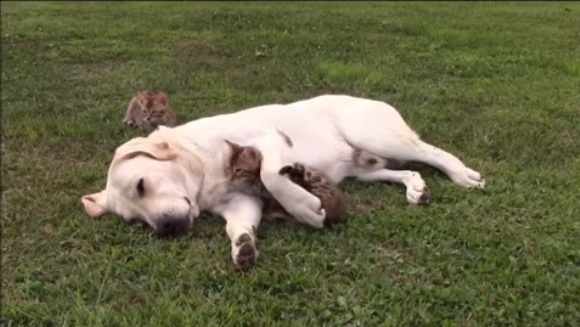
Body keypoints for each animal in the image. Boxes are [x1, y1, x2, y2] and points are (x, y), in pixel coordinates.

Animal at [79, 94, 482, 270]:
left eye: (142, 185)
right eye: (135, 220)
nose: (165, 228)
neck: (201, 162)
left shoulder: (269, 142)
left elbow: (273, 177)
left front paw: (305, 208)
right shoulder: (239, 202)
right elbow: (239, 226)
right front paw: (243, 245)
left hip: (374, 135)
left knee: (430, 151)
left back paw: (463, 174)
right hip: (364, 168)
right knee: (408, 169)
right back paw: (417, 188)